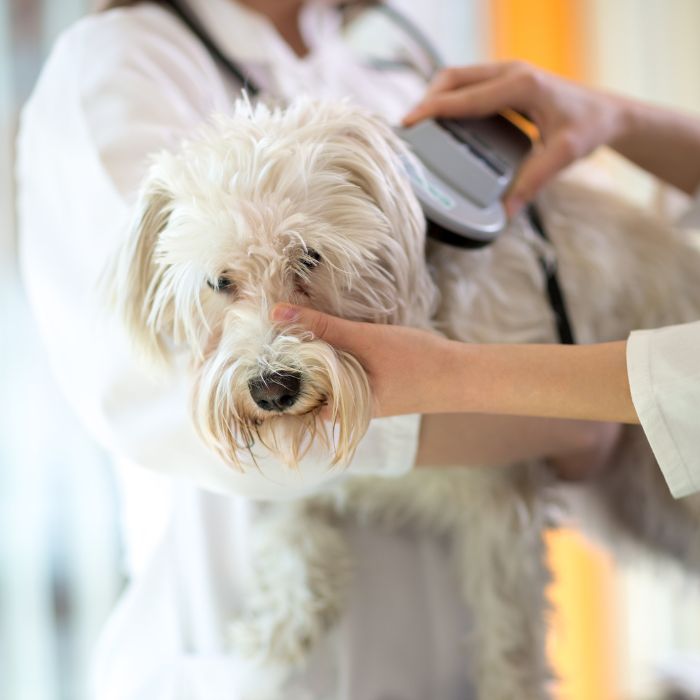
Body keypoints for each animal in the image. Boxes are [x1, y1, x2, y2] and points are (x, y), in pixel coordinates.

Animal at [112, 98, 700, 700]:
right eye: (220, 282)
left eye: (309, 257)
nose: (272, 388)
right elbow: (289, 529)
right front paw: (278, 630)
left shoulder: (501, 504)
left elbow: (508, 642)